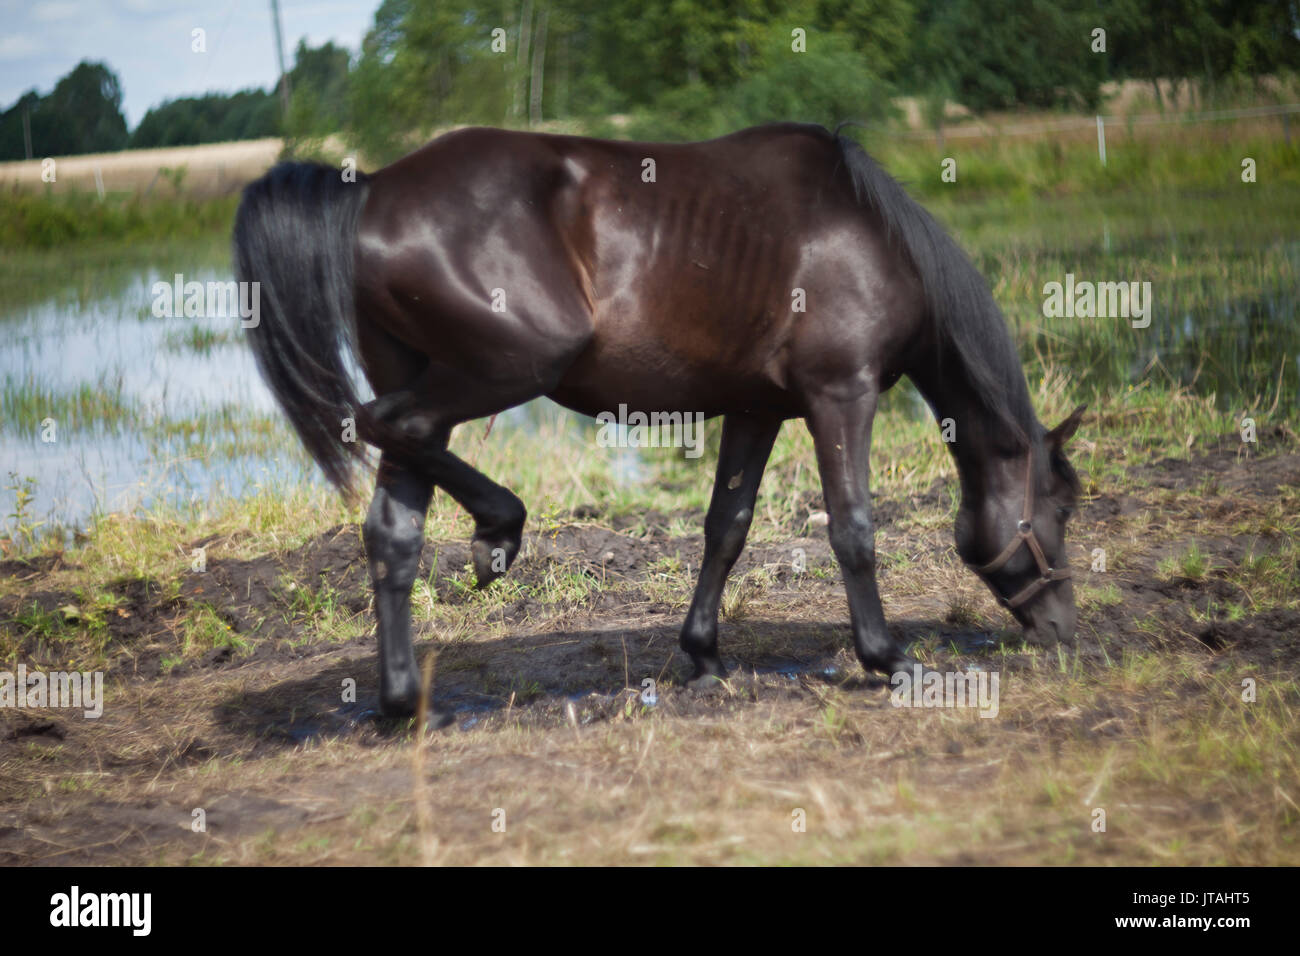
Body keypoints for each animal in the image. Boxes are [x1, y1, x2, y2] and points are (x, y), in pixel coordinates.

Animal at [233, 121, 1086, 717]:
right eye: (1063, 506)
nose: (1066, 628)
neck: (869, 237)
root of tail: (370, 188)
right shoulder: (841, 395)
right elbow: (852, 530)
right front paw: (888, 658)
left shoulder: (756, 410)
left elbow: (726, 529)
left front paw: (704, 656)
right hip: (513, 363)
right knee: (383, 424)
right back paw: (499, 529)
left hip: (433, 376)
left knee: (393, 529)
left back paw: (407, 702)